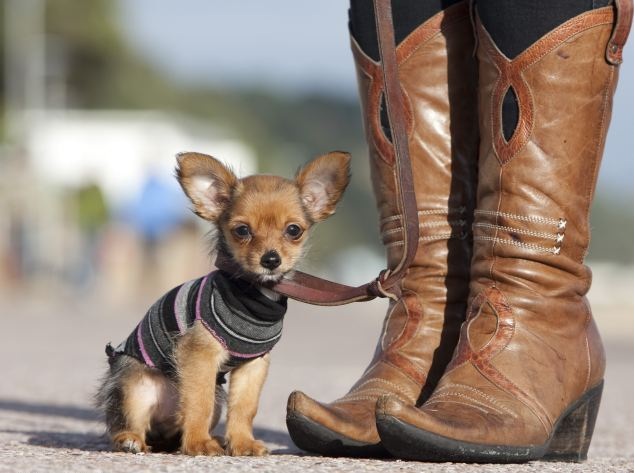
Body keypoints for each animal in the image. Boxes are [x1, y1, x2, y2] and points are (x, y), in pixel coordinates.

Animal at [97, 150, 350, 454]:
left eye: (293, 230)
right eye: (242, 231)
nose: (271, 259)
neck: (254, 294)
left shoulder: (253, 364)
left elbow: (244, 408)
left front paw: (242, 443)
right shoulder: (200, 356)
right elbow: (199, 402)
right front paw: (198, 444)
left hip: (213, 398)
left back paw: (211, 439)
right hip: (135, 385)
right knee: (125, 422)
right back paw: (131, 440)